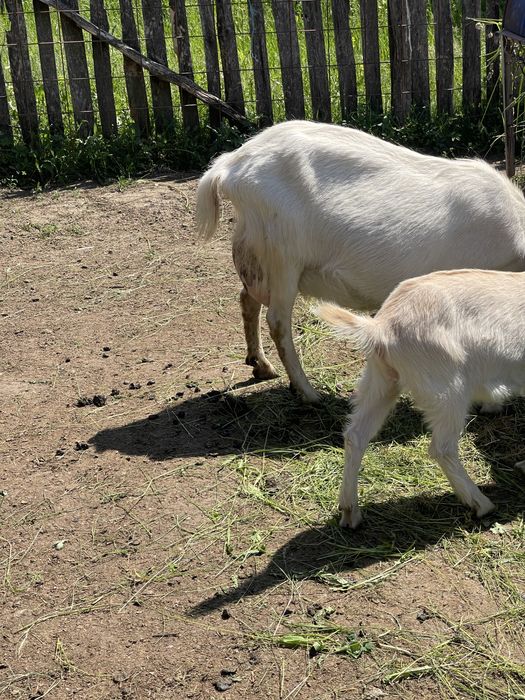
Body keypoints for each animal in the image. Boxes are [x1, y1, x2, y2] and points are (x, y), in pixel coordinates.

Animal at [196, 120, 525, 403]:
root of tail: (231, 164)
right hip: (283, 256)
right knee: (277, 321)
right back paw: (307, 391)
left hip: (257, 254)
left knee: (247, 298)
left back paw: (260, 365)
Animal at [317, 269, 525, 528]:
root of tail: (381, 327)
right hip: (447, 388)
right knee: (442, 448)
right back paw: (481, 504)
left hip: (381, 381)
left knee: (355, 436)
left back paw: (350, 512)